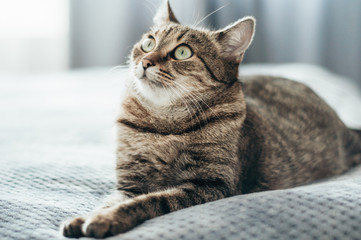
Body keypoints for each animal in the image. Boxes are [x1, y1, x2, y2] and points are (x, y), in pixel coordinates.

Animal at [62, 0, 360, 238]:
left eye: (183, 52)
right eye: (148, 43)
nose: (145, 61)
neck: (163, 125)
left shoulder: (211, 185)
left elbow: (149, 201)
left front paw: (104, 220)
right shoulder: (130, 181)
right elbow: (112, 199)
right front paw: (86, 217)